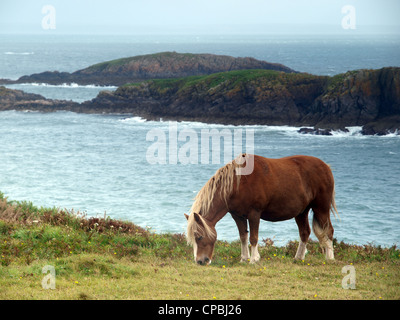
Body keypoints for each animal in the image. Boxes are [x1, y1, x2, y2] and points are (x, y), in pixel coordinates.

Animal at [184, 154, 338, 264]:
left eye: (199, 236)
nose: (200, 261)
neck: (238, 184)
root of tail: (326, 167)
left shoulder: (254, 214)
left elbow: (253, 238)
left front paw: (253, 259)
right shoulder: (237, 216)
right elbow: (243, 236)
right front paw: (244, 259)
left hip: (321, 208)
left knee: (328, 231)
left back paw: (330, 258)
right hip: (301, 212)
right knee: (305, 232)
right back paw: (298, 258)